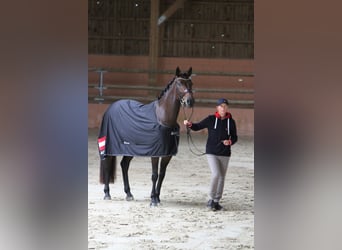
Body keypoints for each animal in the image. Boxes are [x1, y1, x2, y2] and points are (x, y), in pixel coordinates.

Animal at [97, 66, 194, 205]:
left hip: (130, 148)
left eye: (191, 83)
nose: (189, 101)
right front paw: (153, 200)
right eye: (179, 83)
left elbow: (162, 174)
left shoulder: (167, 154)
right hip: (108, 145)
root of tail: (111, 108)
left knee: (124, 165)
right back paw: (107, 193)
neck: (163, 117)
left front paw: (157, 197)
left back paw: (129, 194)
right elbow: (154, 175)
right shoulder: (155, 153)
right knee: (107, 163)